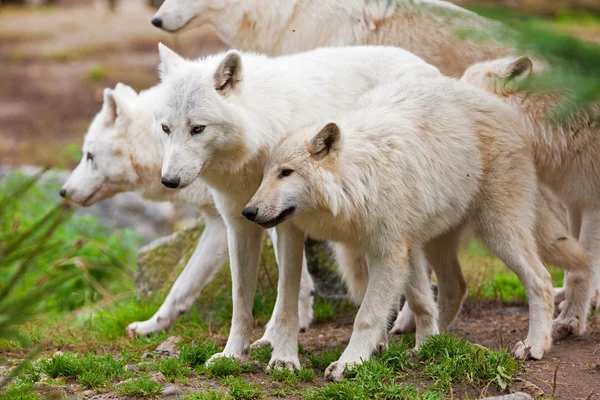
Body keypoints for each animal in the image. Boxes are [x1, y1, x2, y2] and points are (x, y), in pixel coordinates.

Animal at [58, 83, 316, 338]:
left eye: (89, 156)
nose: (63, 191)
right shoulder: (220, 223)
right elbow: (181, 287)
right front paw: (151, 326)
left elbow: (294, 277)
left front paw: (289, 326)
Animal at [155, 43, 442, 368]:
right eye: (166, 128)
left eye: (198, 129)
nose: (169, 180)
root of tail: (427, 66)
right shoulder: (240, 225)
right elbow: (241, 302)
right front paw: (233, 355)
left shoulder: (288, 227)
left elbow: (287, 301)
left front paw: (283, 359)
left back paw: (407, 326)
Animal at [246, 76, 556, 380]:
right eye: (264, 175)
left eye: (286, 172)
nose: (248, 212)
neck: (357, 185)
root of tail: (494, 98)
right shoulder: (297, 235)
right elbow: (288, 306)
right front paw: (283, 361)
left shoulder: (388, 252)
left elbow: (367, 315)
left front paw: (349, 364)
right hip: (432, 243)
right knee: (455, 287)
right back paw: (434, 345)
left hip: (498, 232)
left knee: (541, 280)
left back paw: (533, 346)